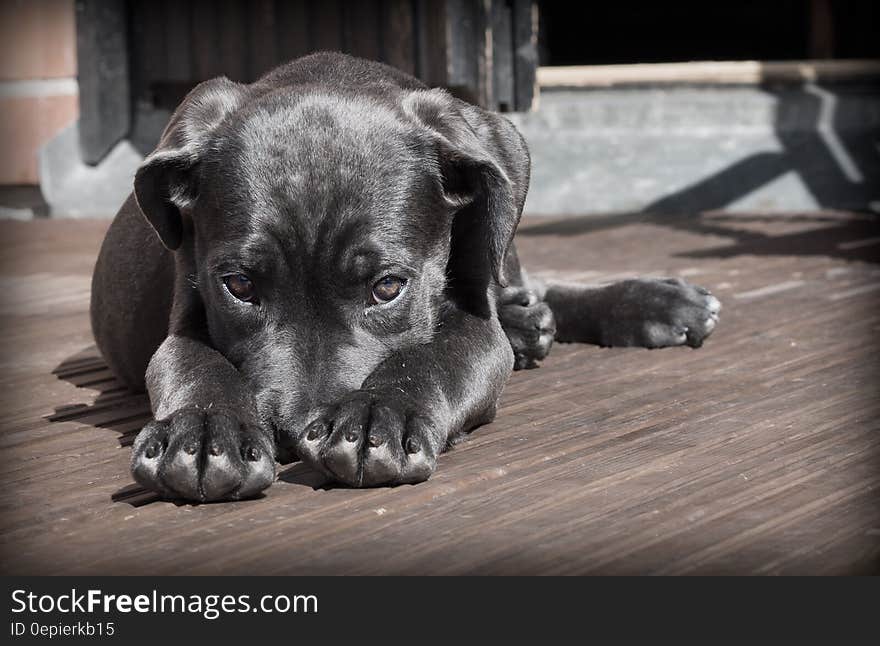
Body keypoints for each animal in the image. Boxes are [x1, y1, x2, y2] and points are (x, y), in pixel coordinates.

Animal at [89, 53, 720, 504]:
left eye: (388, 287)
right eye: (239, 287)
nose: (293, 435)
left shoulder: (474, 325)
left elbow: (433, 356)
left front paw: (377, 415)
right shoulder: (186, 312)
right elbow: (193, 363)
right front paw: (202, 432)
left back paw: (649, 303)